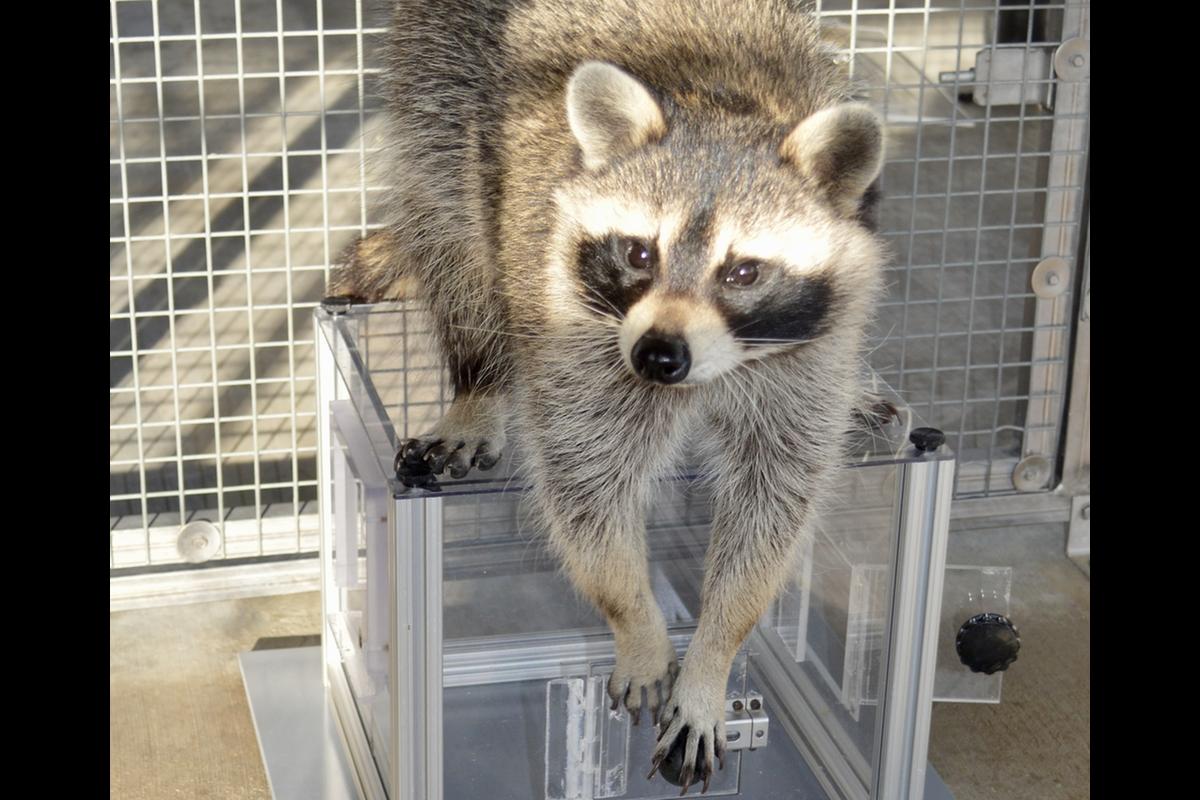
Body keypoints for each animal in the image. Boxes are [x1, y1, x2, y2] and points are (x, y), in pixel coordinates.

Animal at [328, 0, 886, 792]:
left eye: (744, 271)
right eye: (638, 252)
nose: (658, 355)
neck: (721, 103)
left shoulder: (808, 360)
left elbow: (774, 501)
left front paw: (715, 651)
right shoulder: (577, 331)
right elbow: (586, 484)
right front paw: (638, 624)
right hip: (440, 83)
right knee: (456, 230)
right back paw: (478, 381)